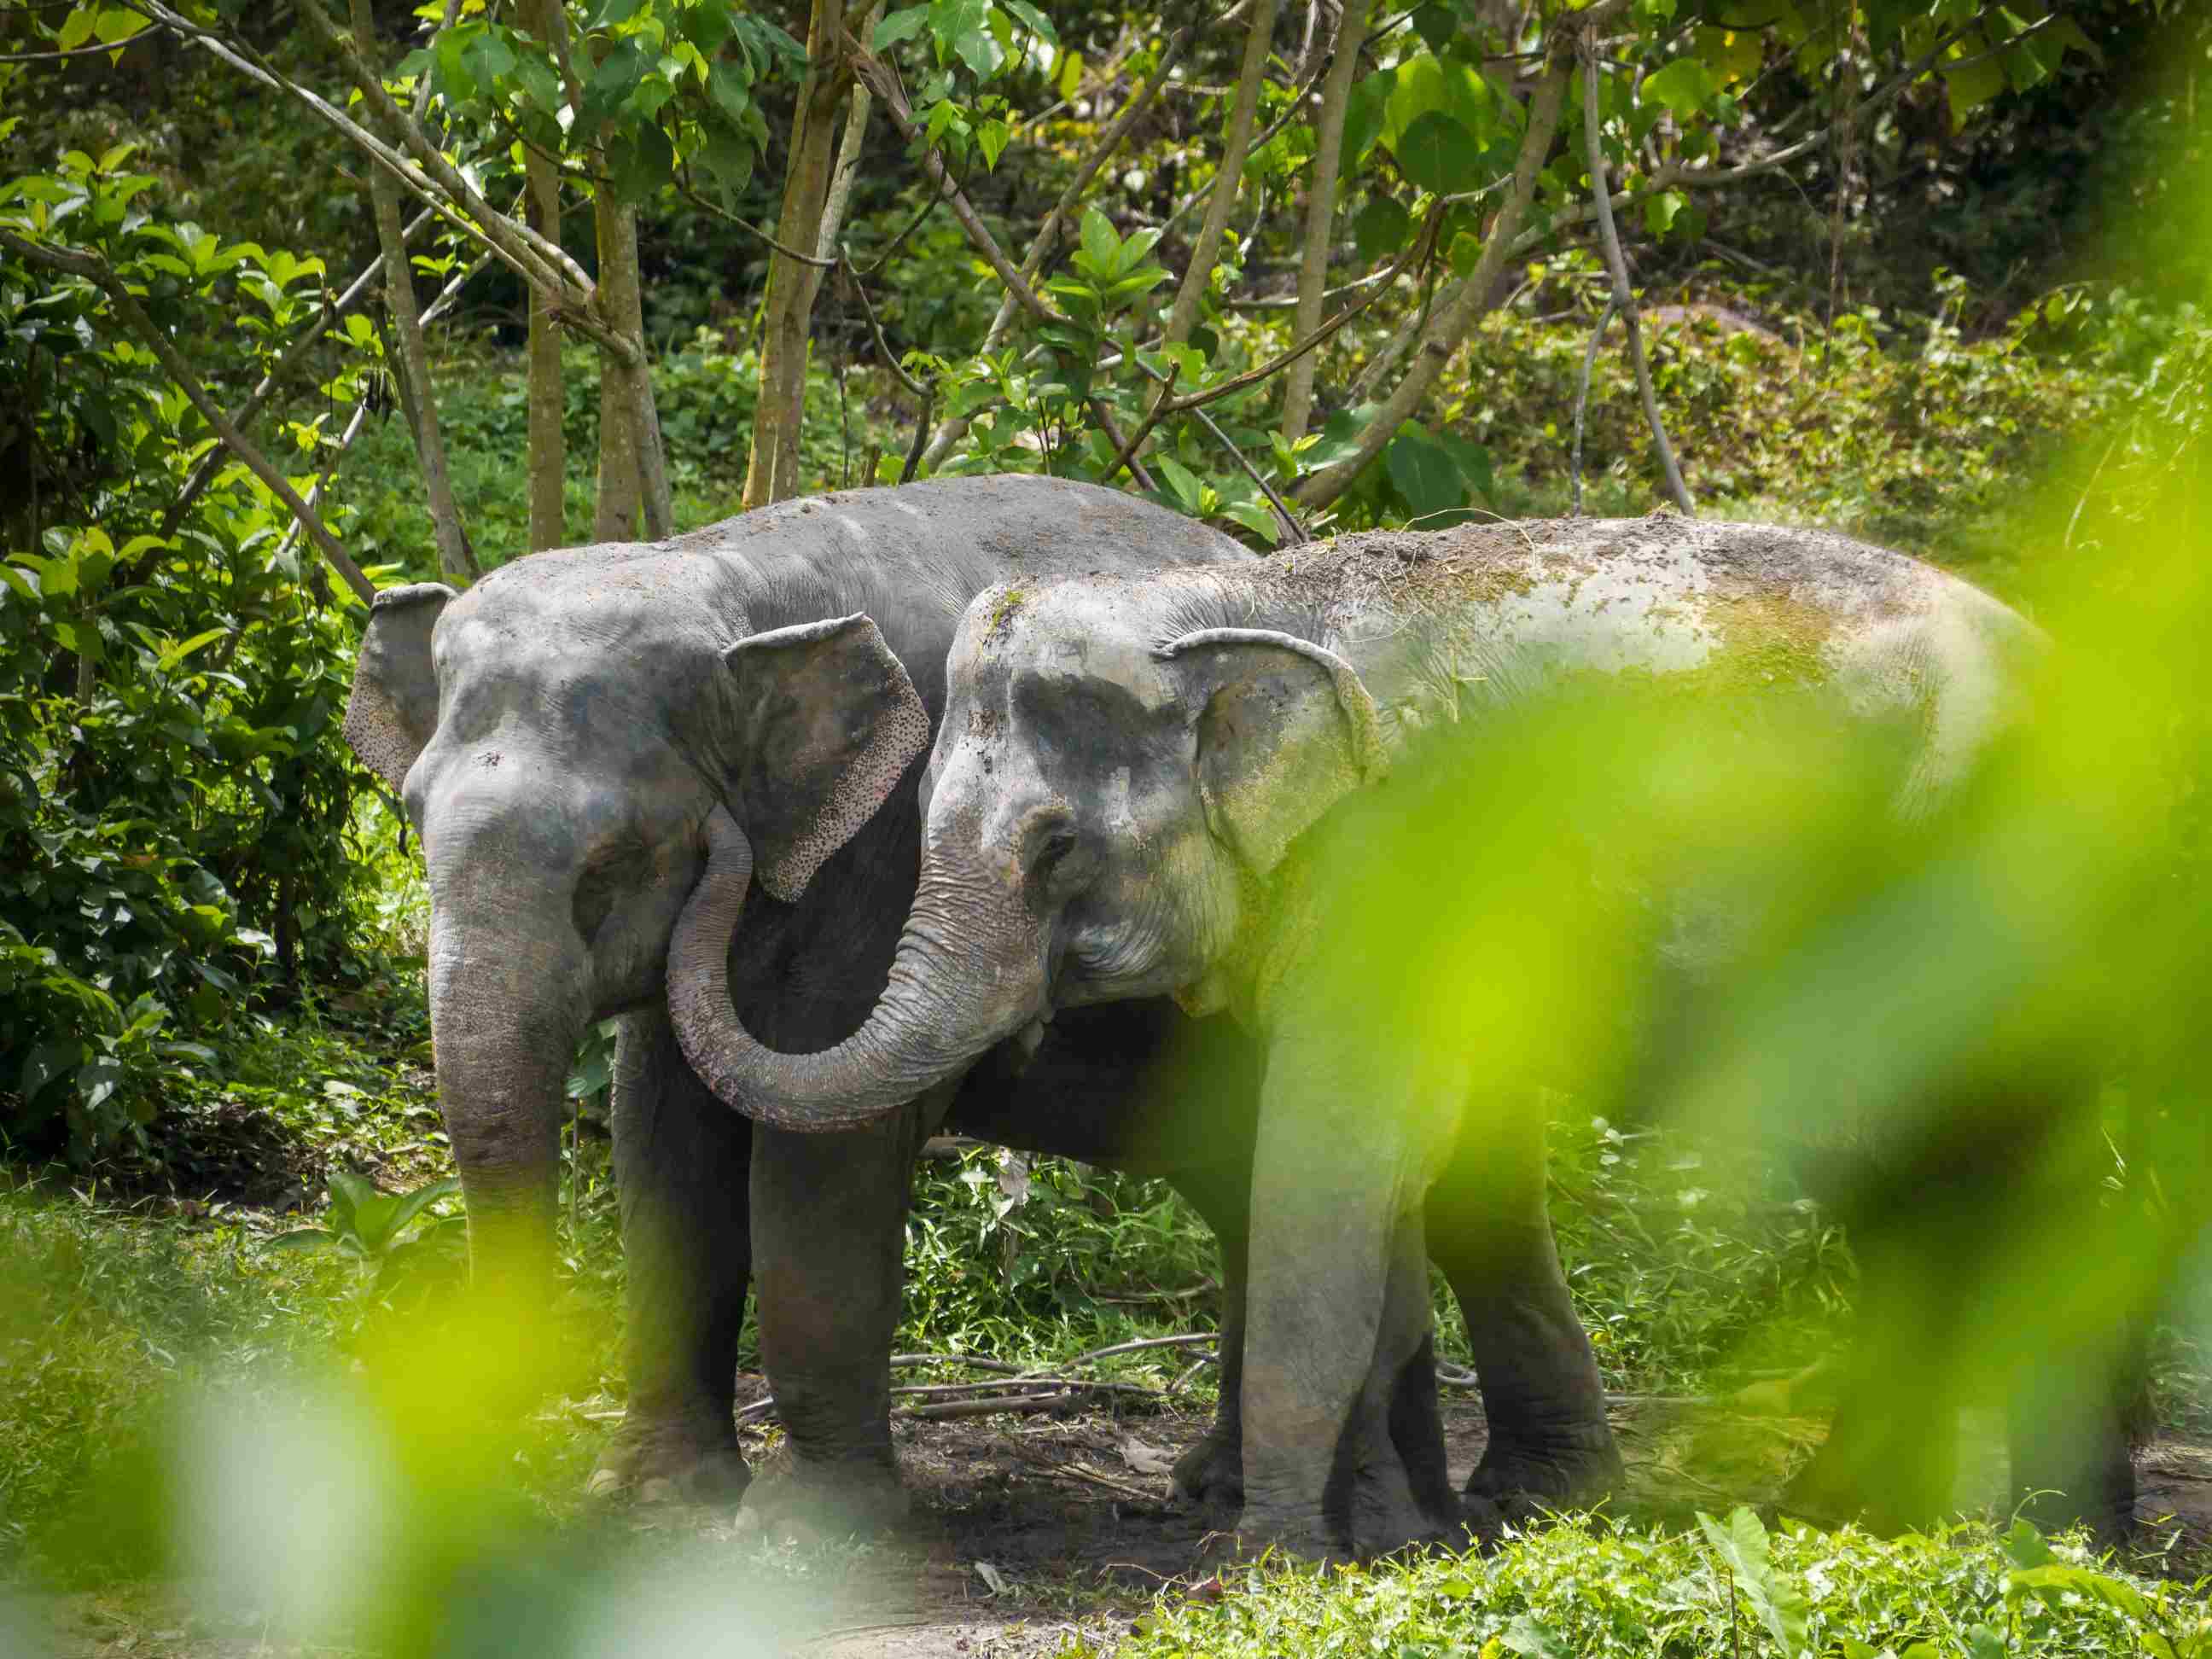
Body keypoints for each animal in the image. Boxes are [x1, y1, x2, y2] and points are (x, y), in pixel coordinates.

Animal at [669, 513, 2140, 1560]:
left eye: (1056, 848)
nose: (723, 840)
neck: (1248, 612)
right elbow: (1401, 1168)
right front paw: (1384, 1532)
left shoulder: (1400, 868)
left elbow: (1328, 1149)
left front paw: (1267, 1559)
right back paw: (1885, 1517)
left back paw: (2042, 1535)